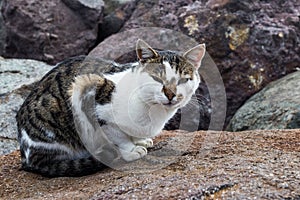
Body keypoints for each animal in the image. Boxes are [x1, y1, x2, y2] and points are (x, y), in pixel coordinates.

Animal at [15, 39, 204, 177]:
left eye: (183, 80)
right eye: (157, 78)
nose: (171, 94)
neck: (153, 111)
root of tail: (26, 155)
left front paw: (140, 140)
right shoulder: (95, 104)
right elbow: (119, 137)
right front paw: (131, 150)